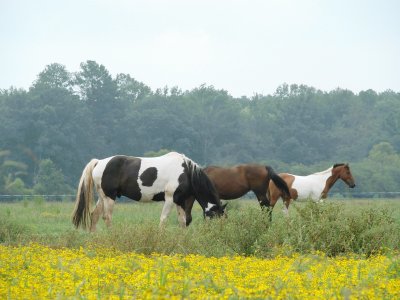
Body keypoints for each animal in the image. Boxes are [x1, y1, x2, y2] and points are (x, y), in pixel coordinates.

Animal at [72, 152, 227, 232]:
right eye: (216, 217)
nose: (215, 234)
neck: (186, 172)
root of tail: (99, 162)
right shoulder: (169, 199)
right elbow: (163, 219)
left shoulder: (180, 201)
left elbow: (183, 221)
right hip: (109, 197)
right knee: (107, 217)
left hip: (103, 196)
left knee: (94, 216)